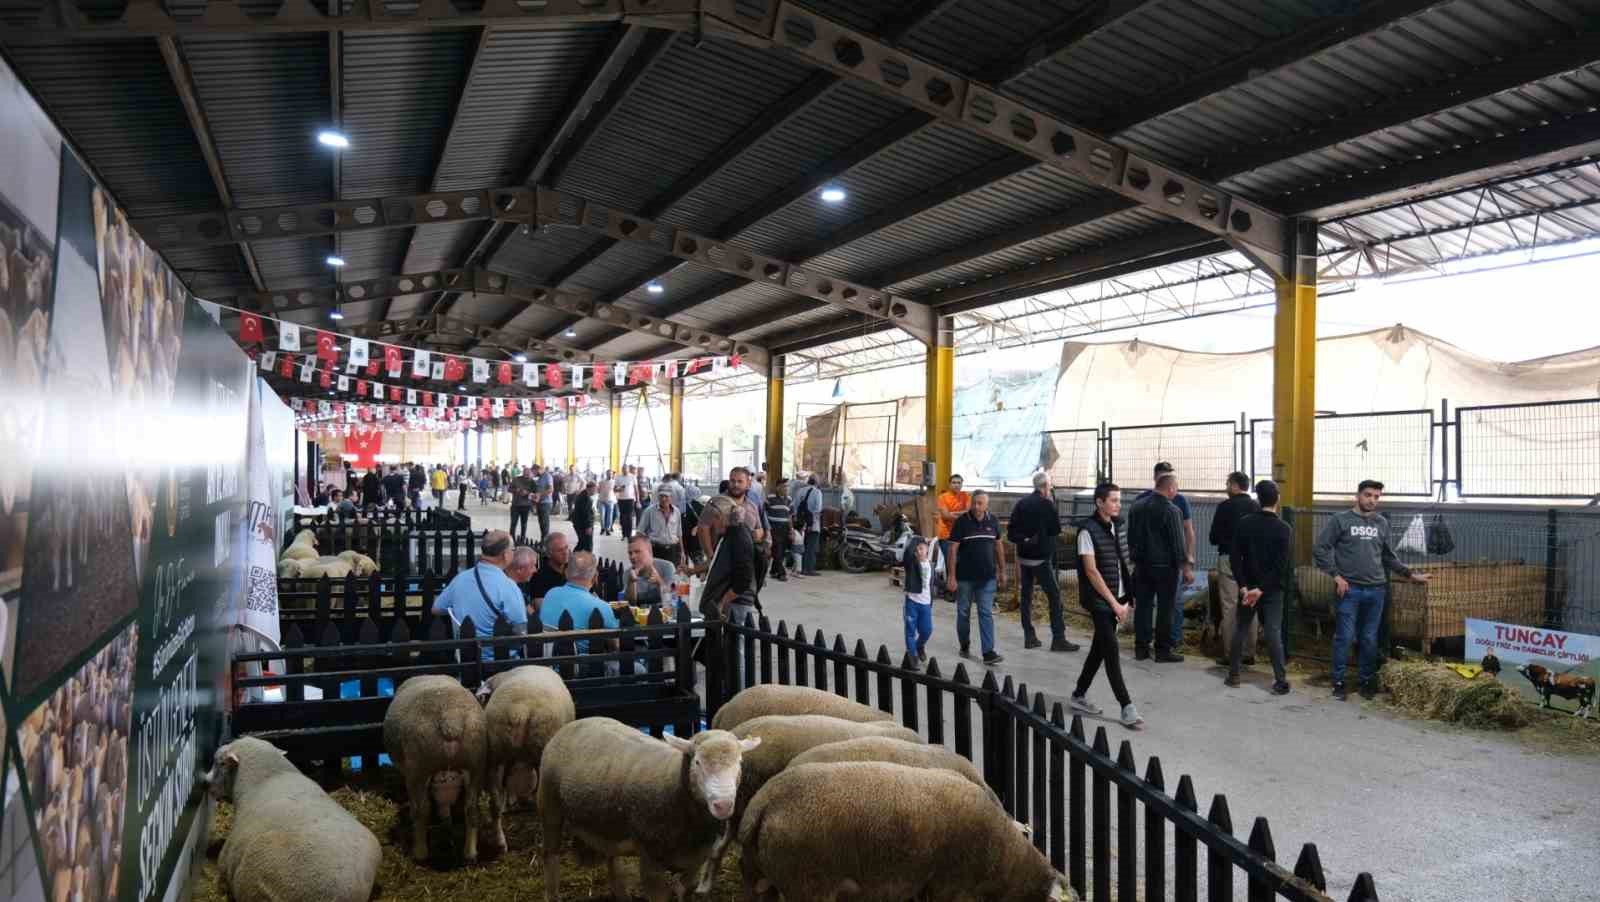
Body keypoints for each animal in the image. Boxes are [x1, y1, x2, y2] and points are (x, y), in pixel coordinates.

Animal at [473, 665, 576, 850]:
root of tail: (520, 711)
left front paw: (510, 802)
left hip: (496, 754)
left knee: (494, 801)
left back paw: (501, 842)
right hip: (542, 748)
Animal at [540, 719, 758, 902]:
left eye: (740, 762)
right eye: (697, 762)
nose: (723, 805)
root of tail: (577, 722)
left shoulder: (696, 858)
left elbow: (685, 889)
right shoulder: (650, 858)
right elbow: (659, 895)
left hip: (608, 819)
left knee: (612, 859)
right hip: (549, 804)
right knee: (551, 857)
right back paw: (552, 894)